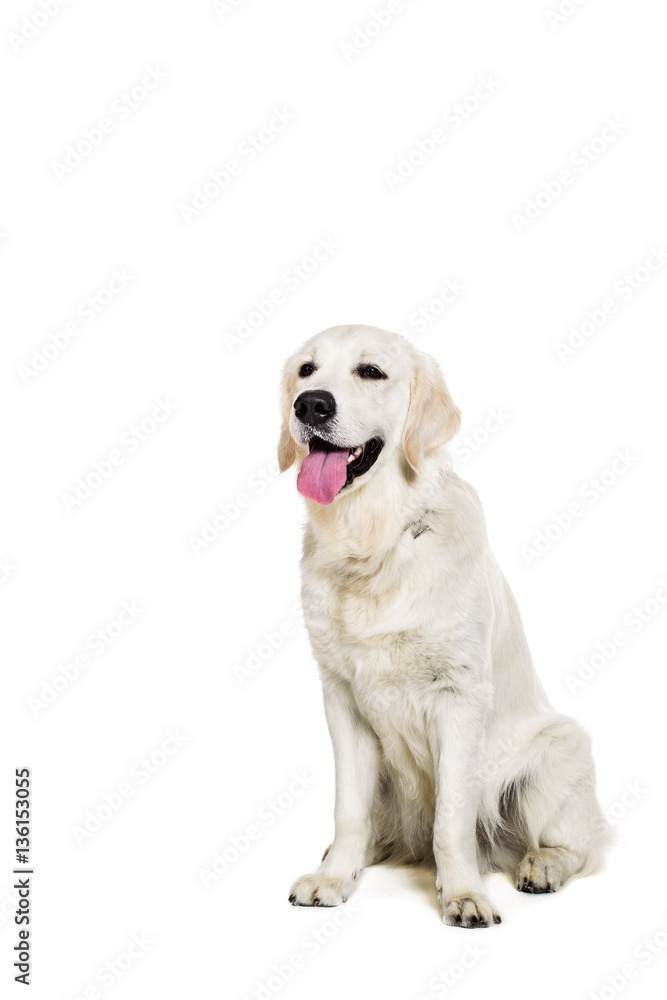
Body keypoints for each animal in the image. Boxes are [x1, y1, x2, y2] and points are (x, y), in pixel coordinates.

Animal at [276, 324, 612, 924]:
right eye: (306, 370)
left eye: (371, 371)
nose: (310, 404)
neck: (376, 547)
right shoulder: (341, 698)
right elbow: (348, 810)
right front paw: (336, 876)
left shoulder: (459, 697)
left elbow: (452, 818)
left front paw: (463, 894)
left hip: (560, 748)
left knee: (581, 845)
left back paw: (541, 866)